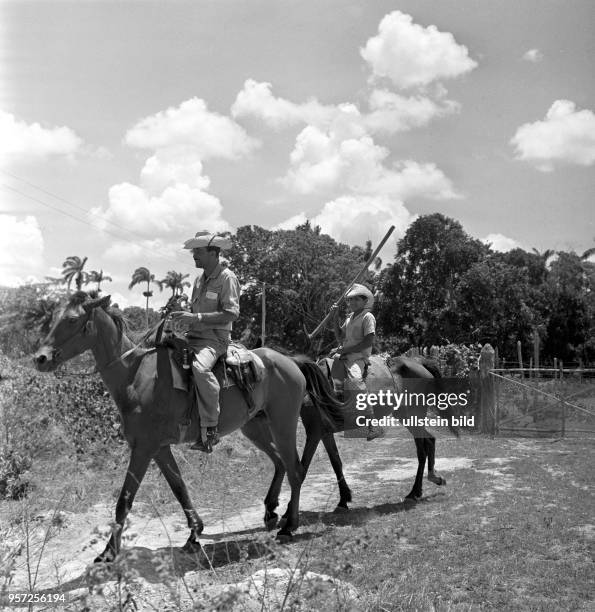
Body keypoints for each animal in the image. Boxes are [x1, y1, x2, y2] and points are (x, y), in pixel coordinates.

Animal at [32, 294, 340, 560]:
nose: (40, 358)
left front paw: (108, 552)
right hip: (255, 427)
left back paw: (289, 525)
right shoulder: (159, 449)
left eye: (72, 319)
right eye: (51, 318)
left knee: (295, 470)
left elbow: (124, 501)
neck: (135, 377)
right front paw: (194, 534)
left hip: (283, 424)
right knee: (279, 463)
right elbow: (180, 489)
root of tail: (291, 361)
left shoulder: (143, 449)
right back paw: (273, 512)